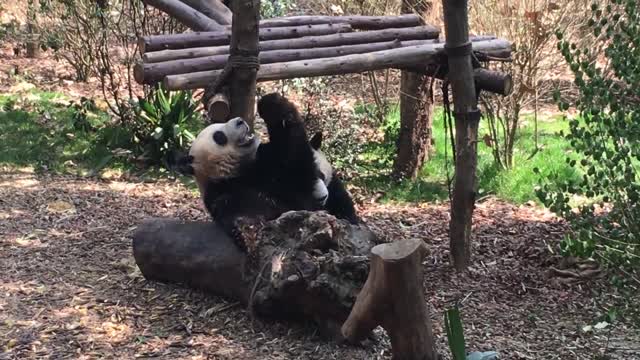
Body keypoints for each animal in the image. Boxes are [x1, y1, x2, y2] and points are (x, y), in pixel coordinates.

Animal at [176, 93, 360, 250]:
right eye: (219, 136)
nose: (239, 121)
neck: (243, 170)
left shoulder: (268, 159)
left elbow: (293, 153)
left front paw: (271, 103)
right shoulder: (222, 192)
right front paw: (245, 231)